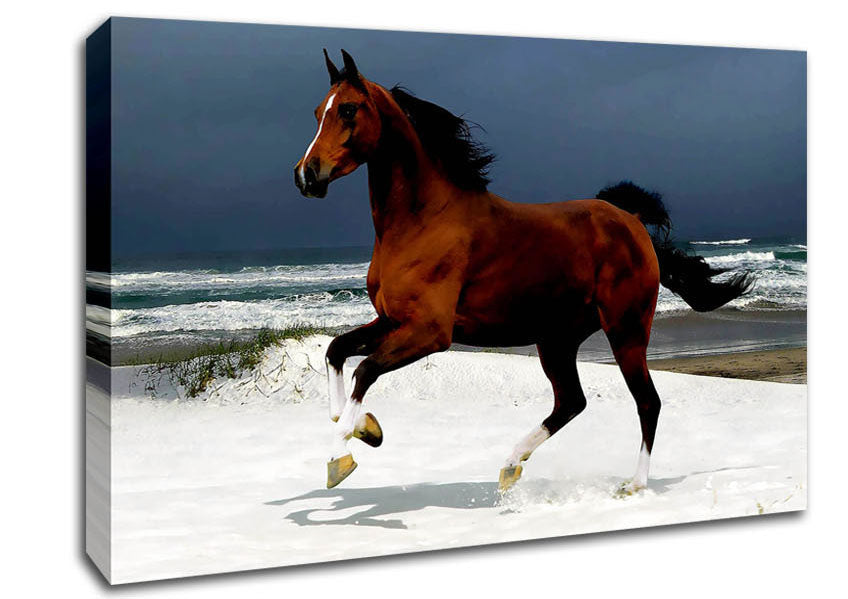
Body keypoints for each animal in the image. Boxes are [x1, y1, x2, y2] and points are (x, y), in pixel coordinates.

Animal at [294, 49, 752, 493]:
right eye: (317, 112)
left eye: (348, 110)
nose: (306, 175)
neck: (422, 220)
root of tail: (632, 220)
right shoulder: (392, 320)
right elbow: (336, 350)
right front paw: (363, 429)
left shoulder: (430, 332)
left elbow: (365, 370)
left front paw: (341, 456)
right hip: (557, 340)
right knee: (571, 402)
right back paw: (511, 465)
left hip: (626, 330)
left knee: (646, 401)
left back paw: (633, 485)